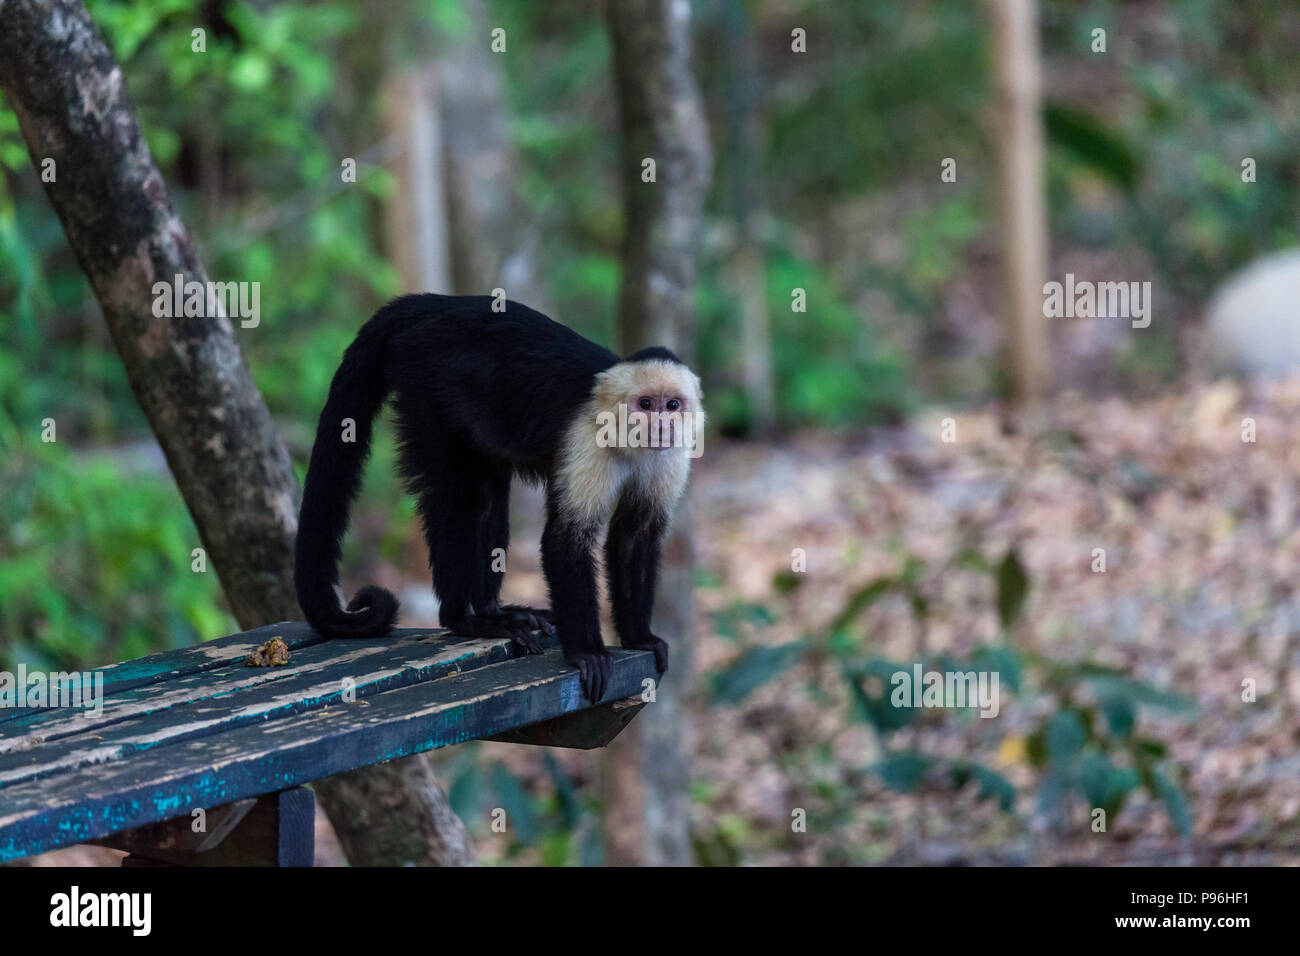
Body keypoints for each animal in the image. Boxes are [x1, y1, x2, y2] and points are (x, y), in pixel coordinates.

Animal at [293, 294, 704, 703]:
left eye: (672, 405)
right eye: (646, 404)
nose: (661, 424)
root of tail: (434, 305)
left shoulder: (672, 454)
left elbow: (636, 537)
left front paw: (639, 637)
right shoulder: (587, 440)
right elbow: (566, 540)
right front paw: (587, 652)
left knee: (488, 494)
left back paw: (495, 611)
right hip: (426, 380)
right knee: (453, 498)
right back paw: (464, 619)